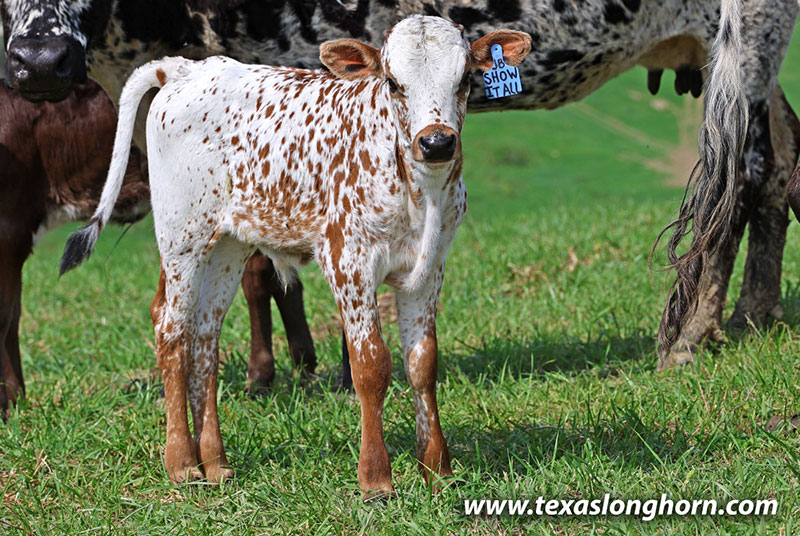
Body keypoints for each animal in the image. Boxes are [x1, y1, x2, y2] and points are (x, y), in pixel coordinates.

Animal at [2, 0, 798, 372]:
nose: (38, 60)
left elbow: (262, 262)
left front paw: (277, 372)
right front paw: (290, 367)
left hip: (740, 40)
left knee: (739, 173)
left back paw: (692, 334)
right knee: (777, 169)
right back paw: (753, 315)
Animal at [59, 15, 531, 493]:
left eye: (466, 79)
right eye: (393, 82)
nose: (436, 143)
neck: (421, 192)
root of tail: (188, 69)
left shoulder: (428, 268)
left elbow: (422, 363)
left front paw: (438, 469)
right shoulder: (348, 262)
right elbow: (370, 365)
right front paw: (375, 478)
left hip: (228, 246)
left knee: (206, 337)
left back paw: (215, 461)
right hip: (182, 237)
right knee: (172, 330)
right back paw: (182, 463)